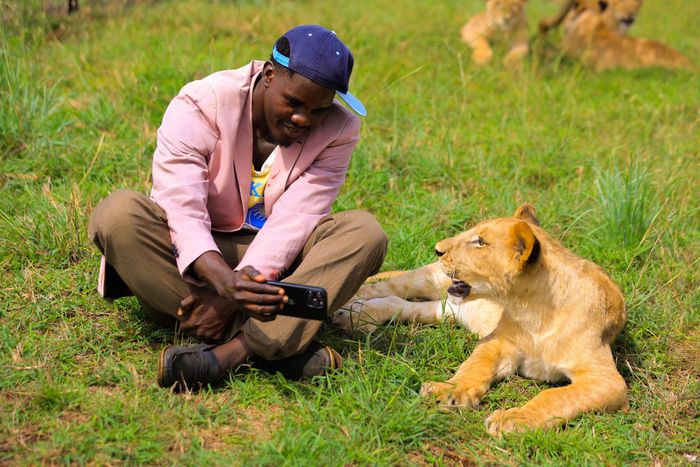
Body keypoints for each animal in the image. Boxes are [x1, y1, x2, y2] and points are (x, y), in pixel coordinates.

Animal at [334, 204, 629, 435]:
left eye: (480, 242)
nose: (438, 250)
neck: (533, 310)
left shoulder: (607, 379)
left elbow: (556, 396)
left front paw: (513, 419)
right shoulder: (499, 340)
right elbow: (474, 367)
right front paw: (448, 391)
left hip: (451, 310)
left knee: (403, 305)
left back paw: (358, 316)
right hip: (428, 279)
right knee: (380, 287)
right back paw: (344, 307)